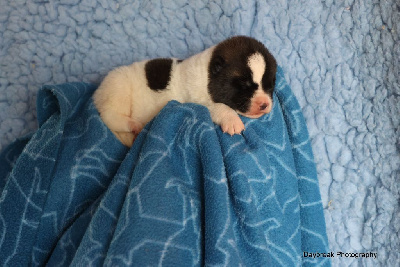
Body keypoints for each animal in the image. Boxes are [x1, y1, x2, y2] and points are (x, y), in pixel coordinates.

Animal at [92, 35, 276, 148]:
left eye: (269, 85)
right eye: (244, 85)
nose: (264, 104)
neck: (208, 75)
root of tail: (97, 93)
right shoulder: (196, 101)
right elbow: (219, 107)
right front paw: (232, 120)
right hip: (118, 87)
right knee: (109, 115)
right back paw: (132, 125)